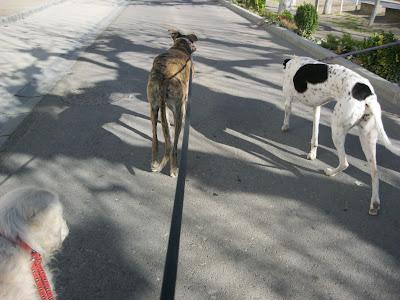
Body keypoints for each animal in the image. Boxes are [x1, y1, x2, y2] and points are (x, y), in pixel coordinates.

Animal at [147, 30, 197, 177]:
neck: (180, 46)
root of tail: (164, 76)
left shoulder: (166, 109)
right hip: (180, 110)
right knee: (173, 146)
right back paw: (174, 169)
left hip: (154, 107)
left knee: (156, 139)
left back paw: (155, 163)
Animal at [282, 56, 400, 216]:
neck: (293, 62)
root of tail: (368, 96)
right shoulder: (316, 108)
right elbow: (315, 137)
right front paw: (312, 154)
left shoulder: (288, 98)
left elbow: (287, 114)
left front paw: (285, 127)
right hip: (367, 138)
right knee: (375, 173)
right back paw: (374, 204)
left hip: (337, 130)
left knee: (344, 163)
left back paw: (330, 172)